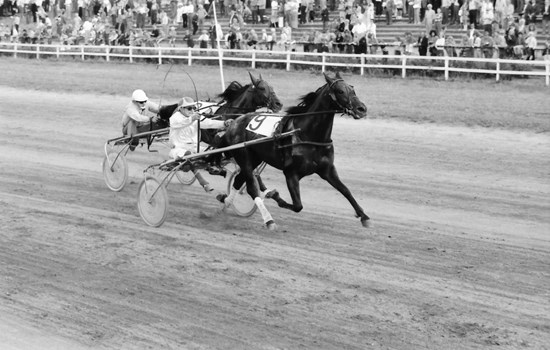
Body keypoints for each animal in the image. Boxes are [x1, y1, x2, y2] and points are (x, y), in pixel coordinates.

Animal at [218, 72, 368, 230]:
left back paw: (226, 200)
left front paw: (363, 216)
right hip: (243, 156)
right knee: (251, 188)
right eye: (340, 91)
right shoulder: (291, 173)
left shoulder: (327, 170)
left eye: (352, 89)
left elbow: (345, 190)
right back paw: (269, 220)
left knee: (239, 180)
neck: (307, 134)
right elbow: (298, 206)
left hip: (255, 158)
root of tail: (234, 123)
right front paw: (275, 197)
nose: (362, 109)